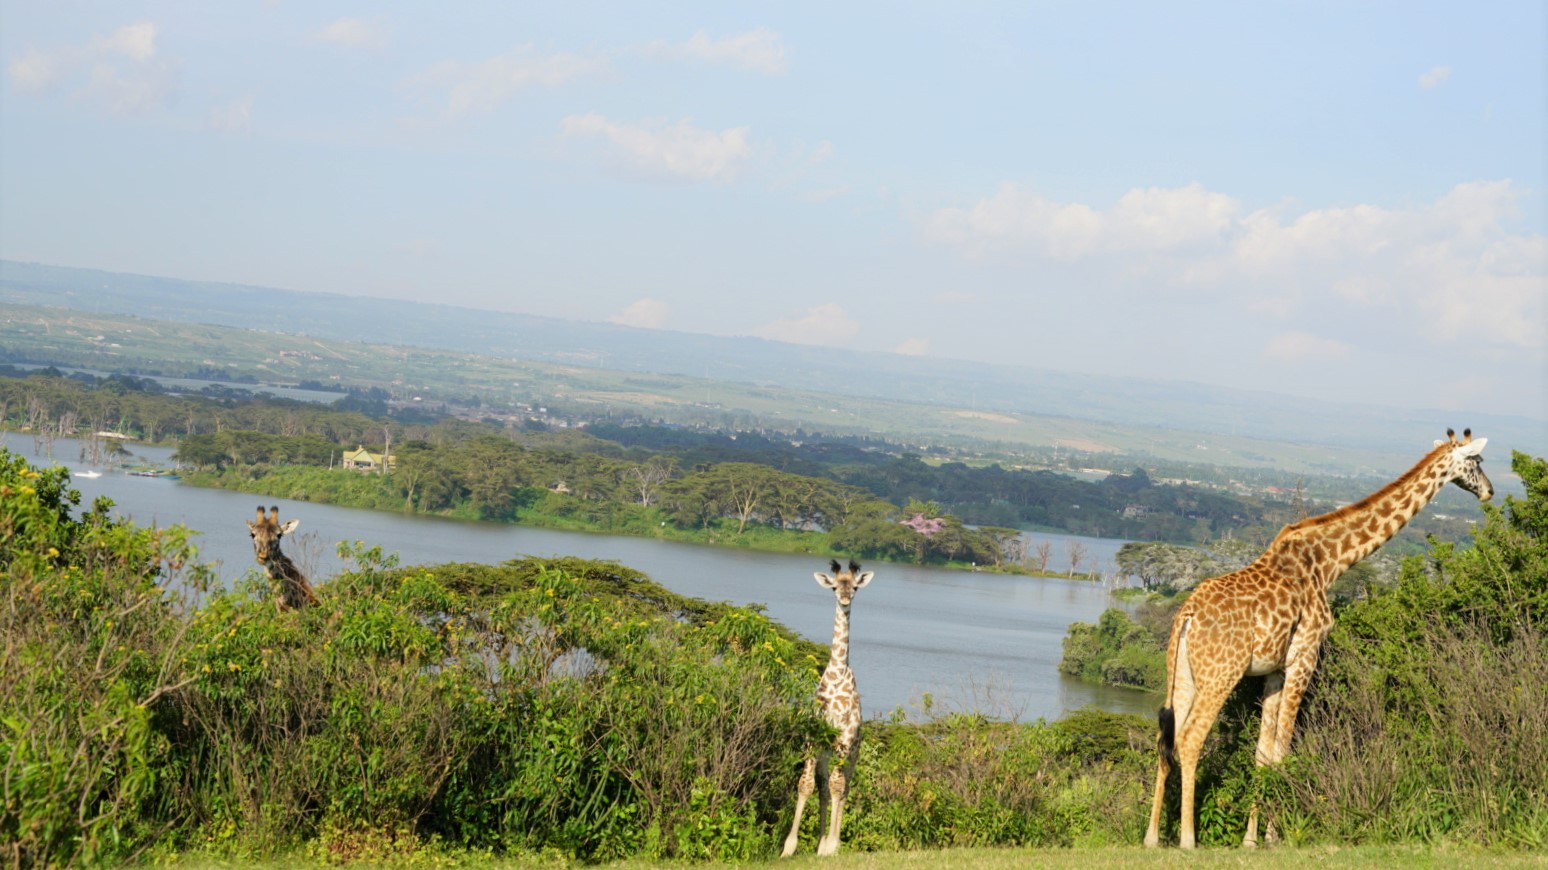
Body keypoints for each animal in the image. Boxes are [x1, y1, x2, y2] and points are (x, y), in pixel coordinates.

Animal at [780, 554, 879, 854]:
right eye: (835, 587)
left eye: (854, 587)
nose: (845, 599)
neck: (836, 676)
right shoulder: (814, 736)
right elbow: (806, 785)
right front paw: (789, 847)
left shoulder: (844, 740)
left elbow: (838, 787)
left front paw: (831, 847)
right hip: (826, 752)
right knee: (824, 787)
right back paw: (821, 841)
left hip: (852, 753)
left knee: (844, 787)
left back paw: (830, 843)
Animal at [1145, 427, 1492, 848]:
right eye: (1477, 462)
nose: (1489, 491)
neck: (1330, 563)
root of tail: (1188, 615)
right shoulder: (1305, 656)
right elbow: (1283, 750)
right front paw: (1274, 837)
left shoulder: (1274, 670)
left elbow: (1263, 753)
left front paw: (1251, 839)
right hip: (1221, 674)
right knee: (1191, 738)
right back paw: (1187, 839)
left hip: (1182, 674)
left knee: (1165, 739)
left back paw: (1151, 837)